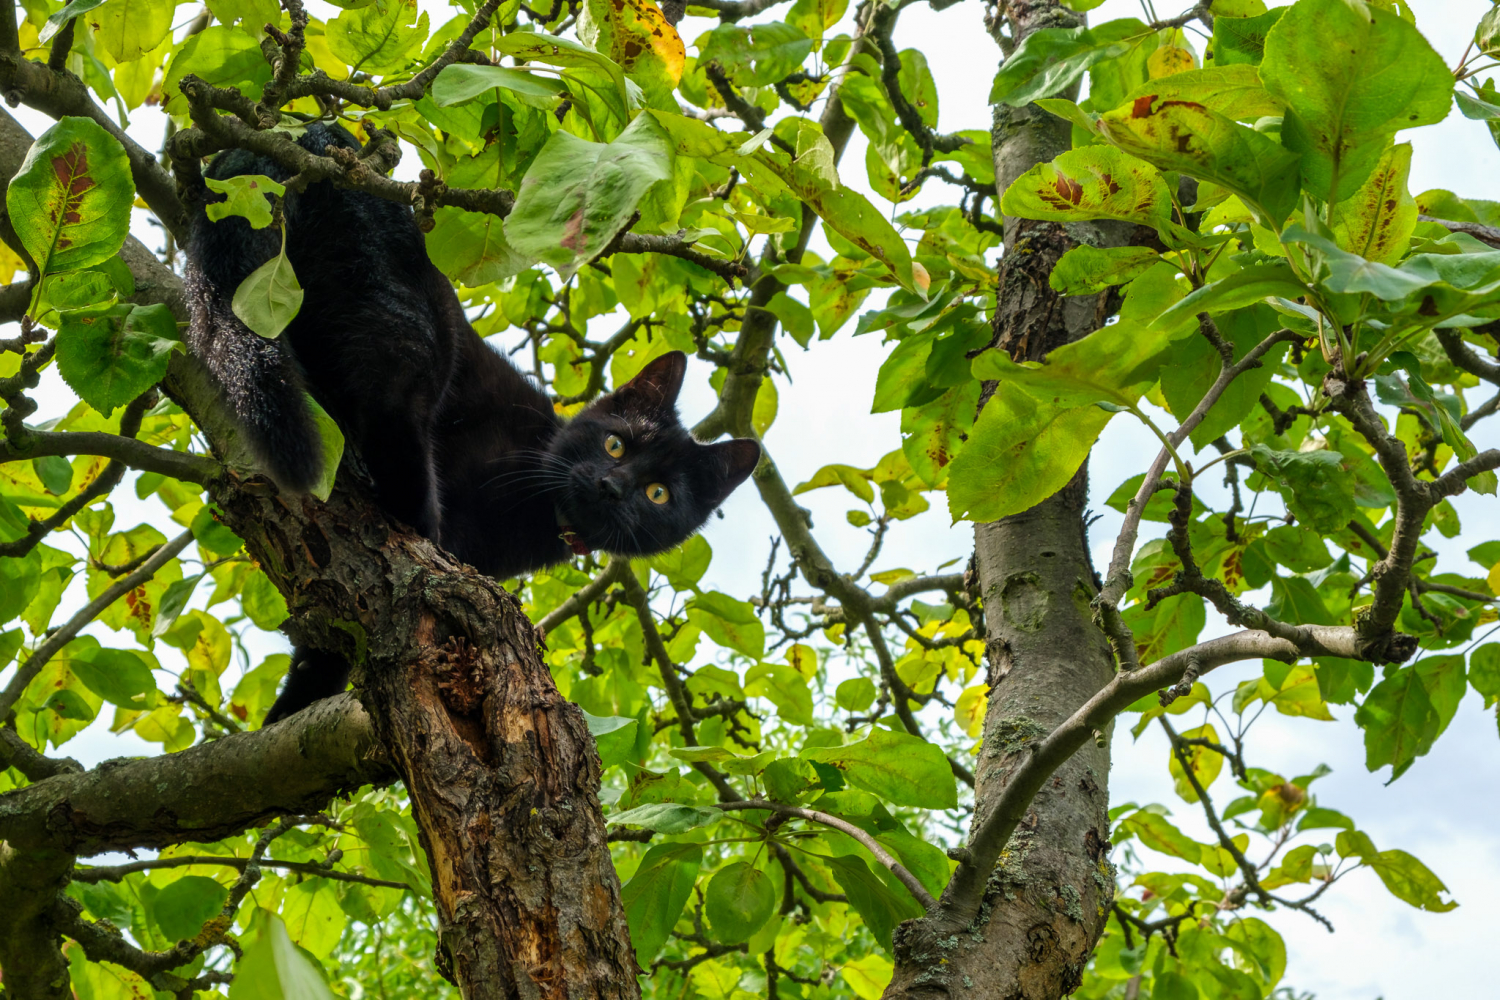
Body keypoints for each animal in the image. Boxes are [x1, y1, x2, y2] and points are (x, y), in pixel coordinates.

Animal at [180, 122, 756, 728]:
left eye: (658, 494)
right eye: (616, 444)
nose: (612, 486)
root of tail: (309, 130)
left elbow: (328, 646)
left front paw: (290, 712)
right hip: (419, 322)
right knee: (393, 413)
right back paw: (415, 521)